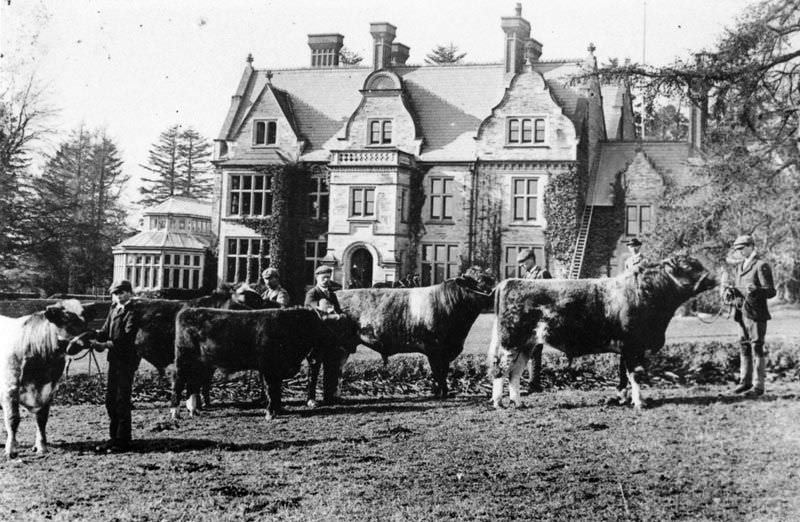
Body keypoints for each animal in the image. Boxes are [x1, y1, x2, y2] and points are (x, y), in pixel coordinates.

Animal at [310, 264, 496, 402]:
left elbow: (443, 372)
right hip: (336, 346)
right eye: (480, 281)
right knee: (330, 367)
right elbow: (439, 373)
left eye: (492, 279)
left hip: (343, 347)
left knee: (335, 369)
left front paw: (443, 392)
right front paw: (441, 394)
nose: (497, 292)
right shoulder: (435, 349)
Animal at [490, 254, 716, 408]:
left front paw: (624, 399)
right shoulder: (633, 345)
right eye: (687, 266)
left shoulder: (627, 348)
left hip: (526, 344)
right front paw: (640, 403)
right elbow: (636, 374)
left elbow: (624, 375)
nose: (712, 278)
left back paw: (518, 402)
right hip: (510, 342)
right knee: (501, 370)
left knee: (515, 372)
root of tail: (509, 282)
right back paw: (499, 403)